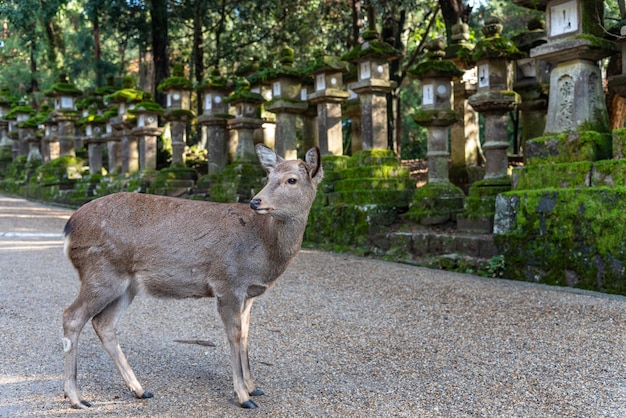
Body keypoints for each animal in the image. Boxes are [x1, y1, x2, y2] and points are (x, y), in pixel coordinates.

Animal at [61, 144, 322, 408]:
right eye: (268, 176)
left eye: (292, 179)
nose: (255, 201)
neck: (265, 250)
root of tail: (69, 227)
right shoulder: (227, 283)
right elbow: (235, 335)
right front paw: (243, 396)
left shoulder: (249, 293)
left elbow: (247, 334)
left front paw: (253, 387)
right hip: (101, 272)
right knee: (72, 316)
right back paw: (76, 397)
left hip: (126, 285)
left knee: (104, 323)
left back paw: (139, 389)